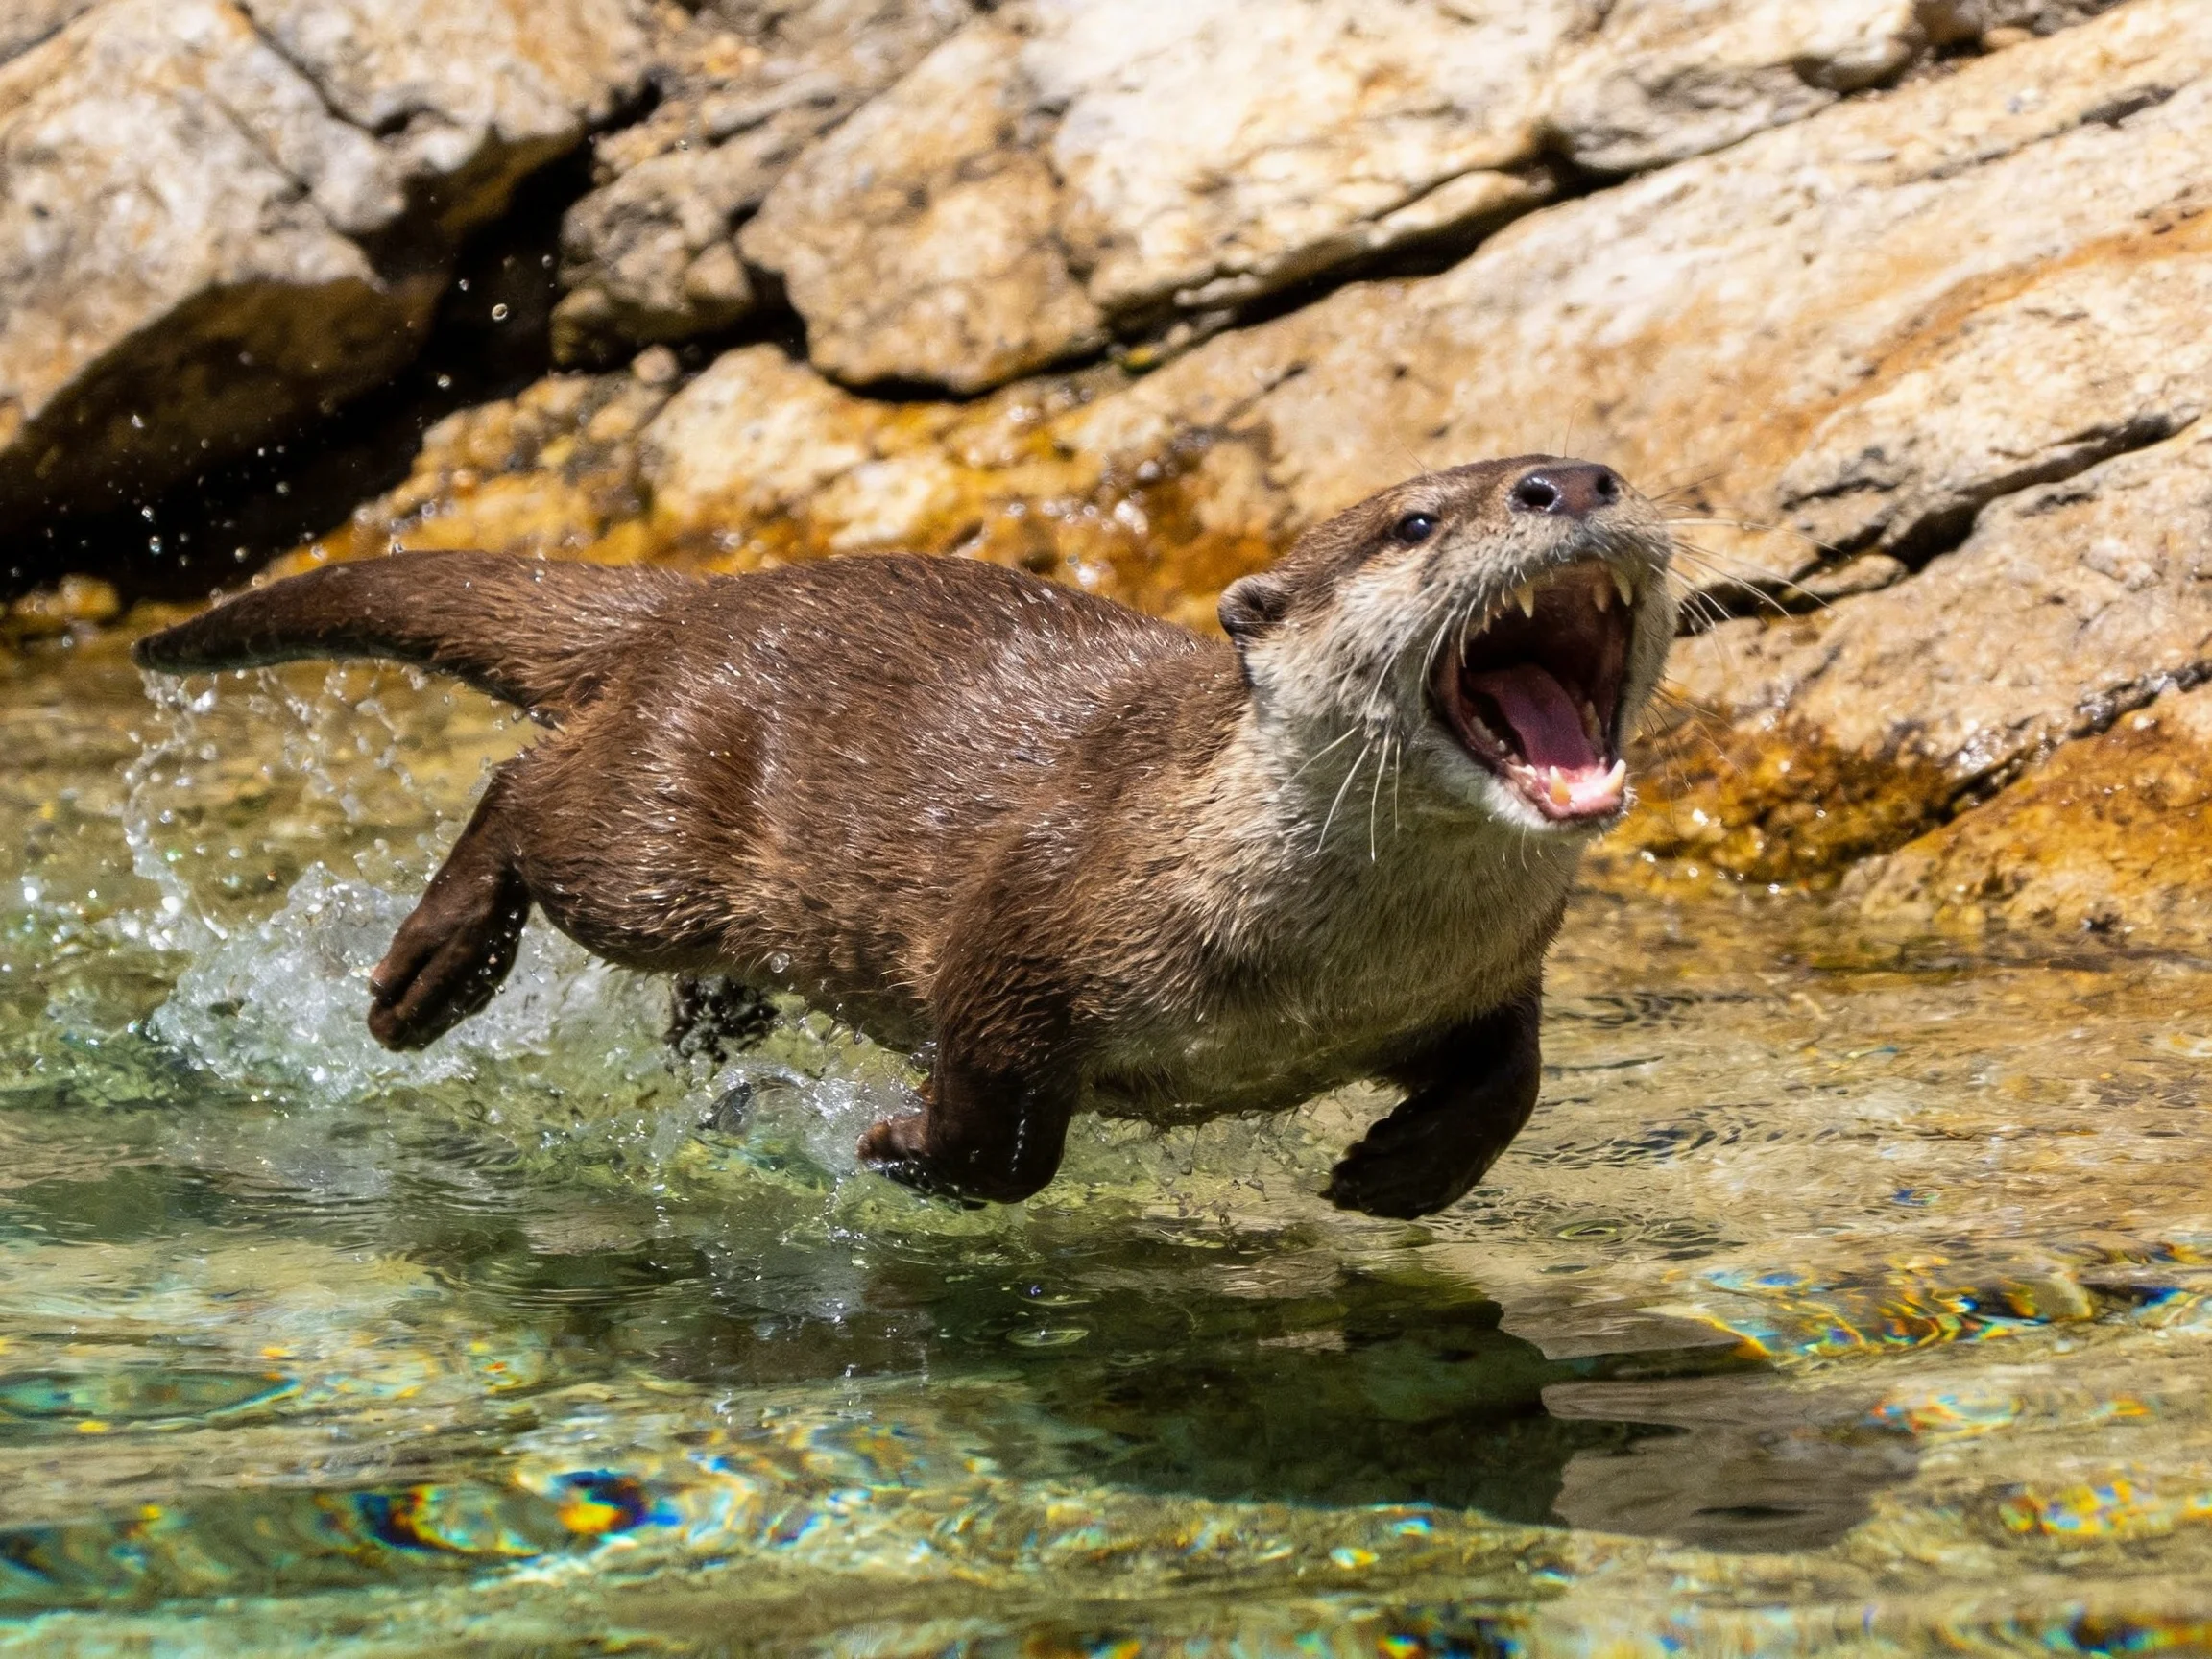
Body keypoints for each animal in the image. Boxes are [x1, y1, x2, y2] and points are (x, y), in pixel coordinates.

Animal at [134, 457, 1675, 1216]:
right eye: (1415, 523)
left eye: (1599, 465)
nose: (1569, 483)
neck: (1324, 968)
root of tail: (698, 602)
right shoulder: (1030, 924)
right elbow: (1002, 1123)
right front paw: (894, 1153)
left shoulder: (1490, 977)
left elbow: (1516, 1075)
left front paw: (1398, 1175)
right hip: (652, 833)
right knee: (525, 796)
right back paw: (424, 981)